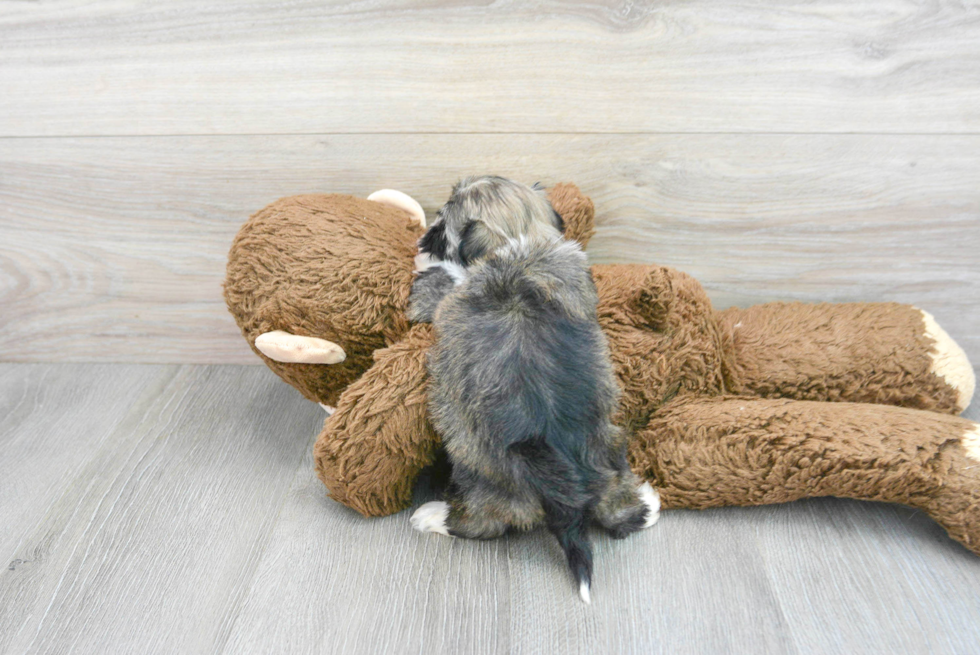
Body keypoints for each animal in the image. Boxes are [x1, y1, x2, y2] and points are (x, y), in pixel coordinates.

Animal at [406, 176, 660, 604]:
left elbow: (441, 290)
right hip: (611, 450)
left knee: (480, 524)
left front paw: (427, 273)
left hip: (479, 473)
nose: (423, 242)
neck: (522, 239)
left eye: (442, 227)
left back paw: (433, 516)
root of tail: (569, 497)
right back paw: (648, 503)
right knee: (620, 514)